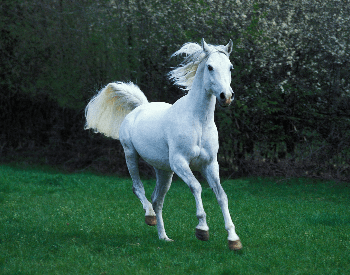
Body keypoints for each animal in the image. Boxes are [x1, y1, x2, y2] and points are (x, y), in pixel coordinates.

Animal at [85, 38, 241, 252]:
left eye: (230, 67)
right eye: (210, 67)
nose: (226, 96)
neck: (198, 121)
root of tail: (140, 108)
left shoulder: (210, 164)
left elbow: (221, 195)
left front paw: (233, 239)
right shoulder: (180, 162)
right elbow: (196, 187)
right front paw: (202, 229)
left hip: (164, 171)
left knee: (157, 200)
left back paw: (164, 237)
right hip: (130, 155)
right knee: (138, 189)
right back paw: (149, 217)